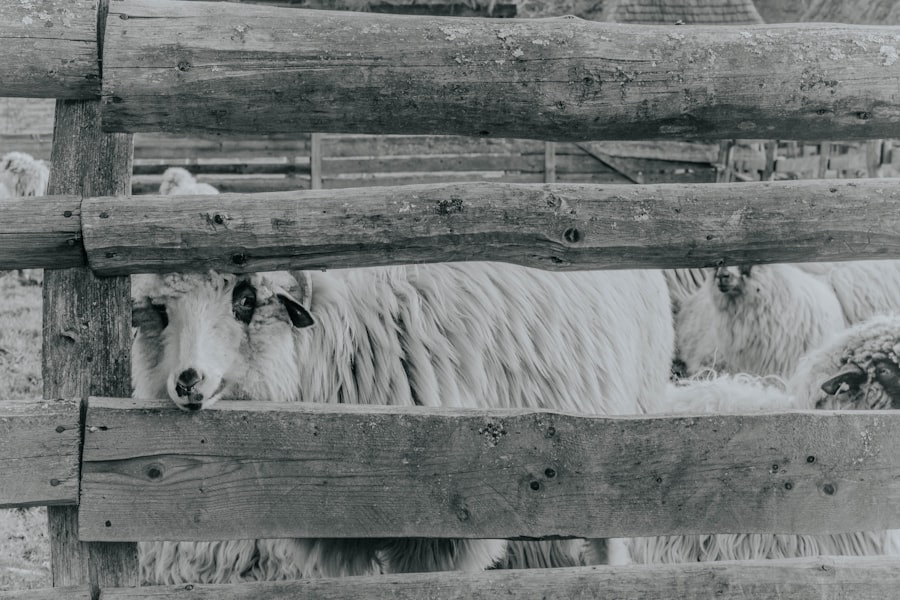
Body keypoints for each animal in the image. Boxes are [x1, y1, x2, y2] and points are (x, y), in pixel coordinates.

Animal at [131, 264, 675, 583]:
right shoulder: (338, 531)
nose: (187, 381)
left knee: (608, 543)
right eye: (162, 312)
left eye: (244, 301)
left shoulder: (438, 528)